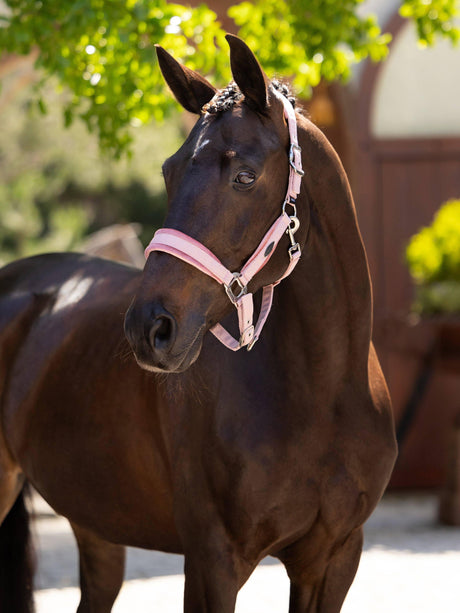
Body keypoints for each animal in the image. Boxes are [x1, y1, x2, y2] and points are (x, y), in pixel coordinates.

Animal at [0, 34, 396, 612]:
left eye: (245, 176)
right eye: (169, 171)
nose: (149, 328)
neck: (324, 393)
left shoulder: (334, 560)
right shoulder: (212, 563)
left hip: (97, 522)